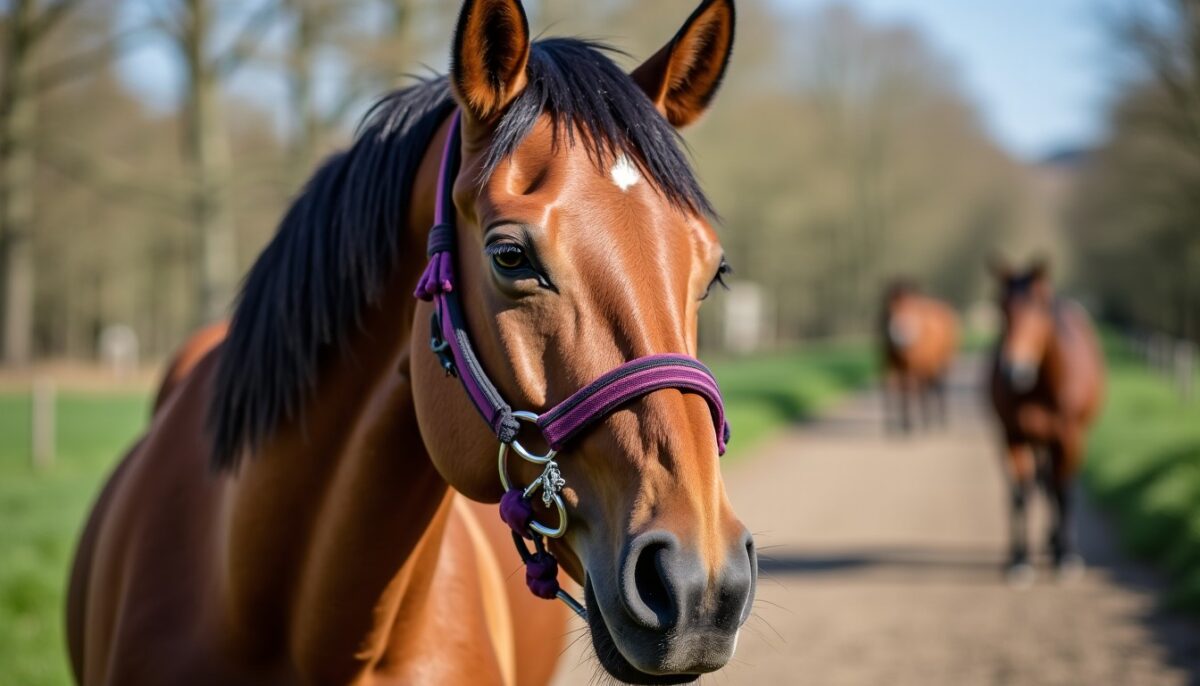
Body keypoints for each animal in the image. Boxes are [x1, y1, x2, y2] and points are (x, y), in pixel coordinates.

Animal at [880, 280, 959, 433]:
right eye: (890, 309)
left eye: (911, 308)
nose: (900, 334)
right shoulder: (888, 365)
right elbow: (890, 390)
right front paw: (890, 428)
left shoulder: (913, 366)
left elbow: (908, 390)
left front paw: (908, 425)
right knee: (925, 387)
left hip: (941, 363)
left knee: (937, 386)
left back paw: (938, 419)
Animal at [988, 258, 1105, 584]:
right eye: (1001, 307)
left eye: (1039, 308)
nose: (1014, 371)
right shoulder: (1012, 436)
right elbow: (1021, 494)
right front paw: (1020, 561)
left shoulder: (1068, 437)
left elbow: (1063, 491)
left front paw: (1066, 557)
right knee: (1042, 482)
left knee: (1056, 484)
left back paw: (1058, 545)